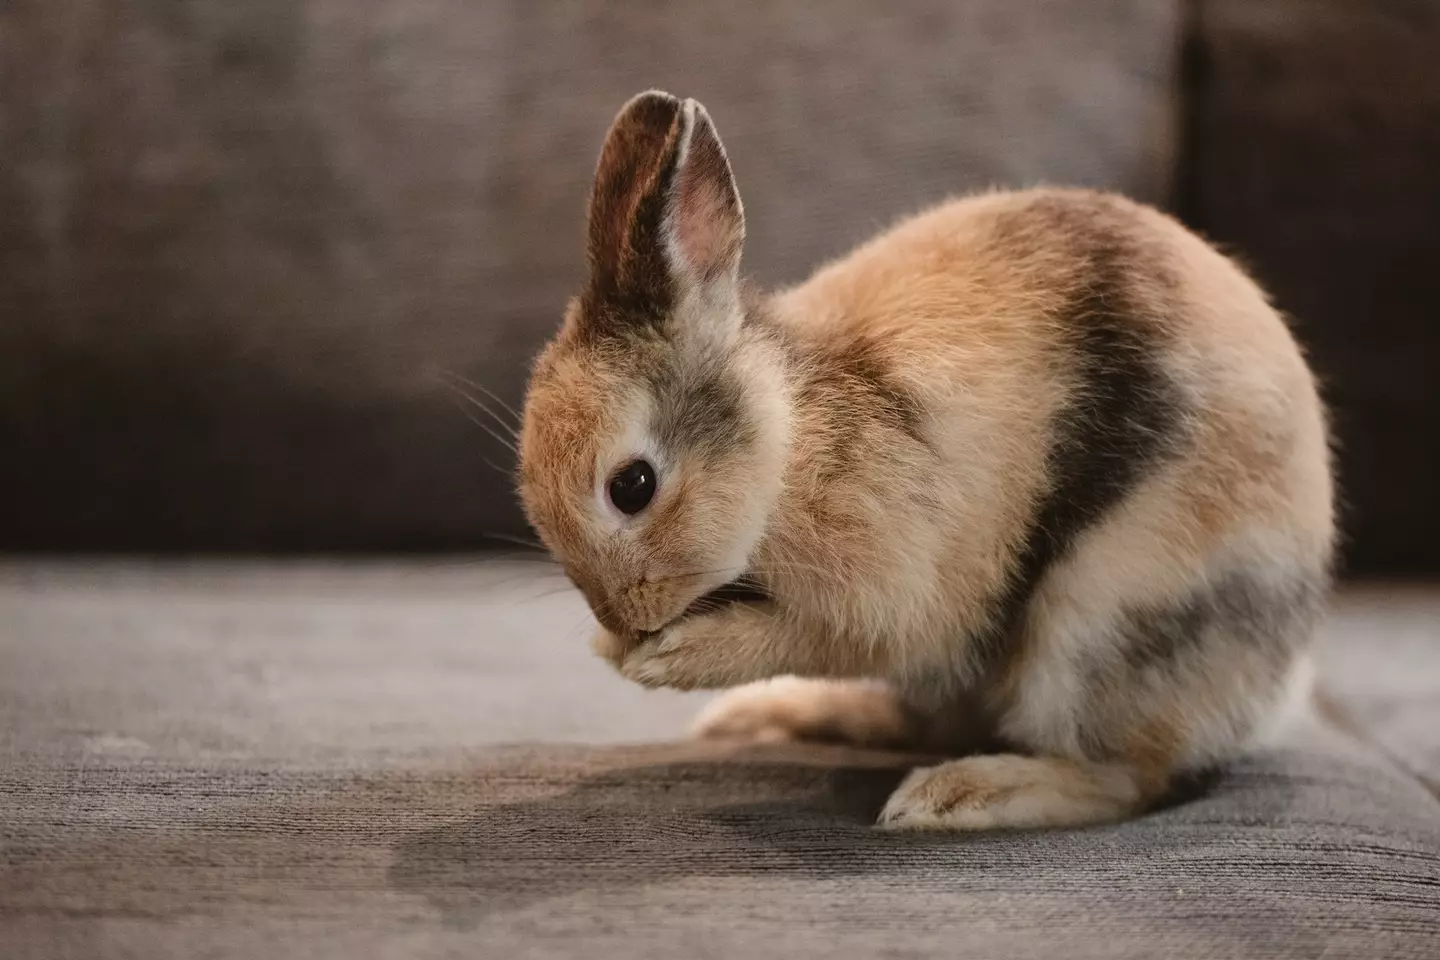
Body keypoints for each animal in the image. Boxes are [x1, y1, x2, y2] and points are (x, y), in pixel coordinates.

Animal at [516, 90, 1335, 831]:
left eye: (632, 486)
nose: (620, 616)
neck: (790, 443)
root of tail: (1274, 686)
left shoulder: (896, 598)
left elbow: (809, 637)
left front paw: (661, 659)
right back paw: (777, 717)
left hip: (1104, 624)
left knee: (1126, 777)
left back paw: (952, 797)